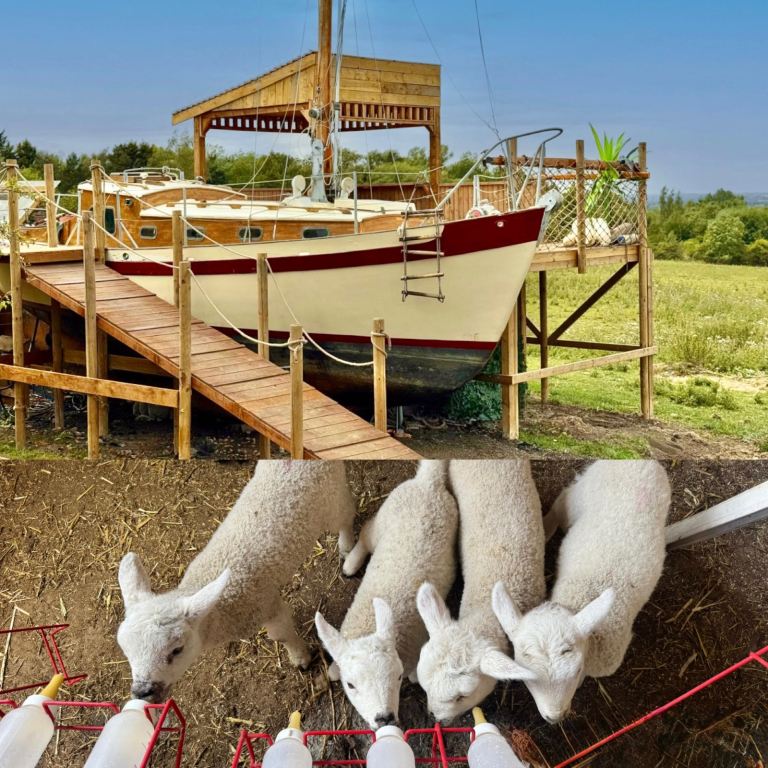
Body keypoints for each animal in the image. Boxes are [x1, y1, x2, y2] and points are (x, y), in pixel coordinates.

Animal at [117, 460, 356, 703]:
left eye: (177, 650)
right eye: (126, 651)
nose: (143, 692)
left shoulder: (266, 606)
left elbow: (281, 636)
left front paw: (301, 658)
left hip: (331, 496)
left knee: (346, 515)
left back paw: (347, 548)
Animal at [314, 460, 459, 731]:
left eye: (399, 676)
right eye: (351, 685)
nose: (385, 718)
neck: (368, 624)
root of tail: (428, 482)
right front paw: (334, 671)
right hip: (384, 516)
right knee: (366, 534)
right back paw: (351, 563)